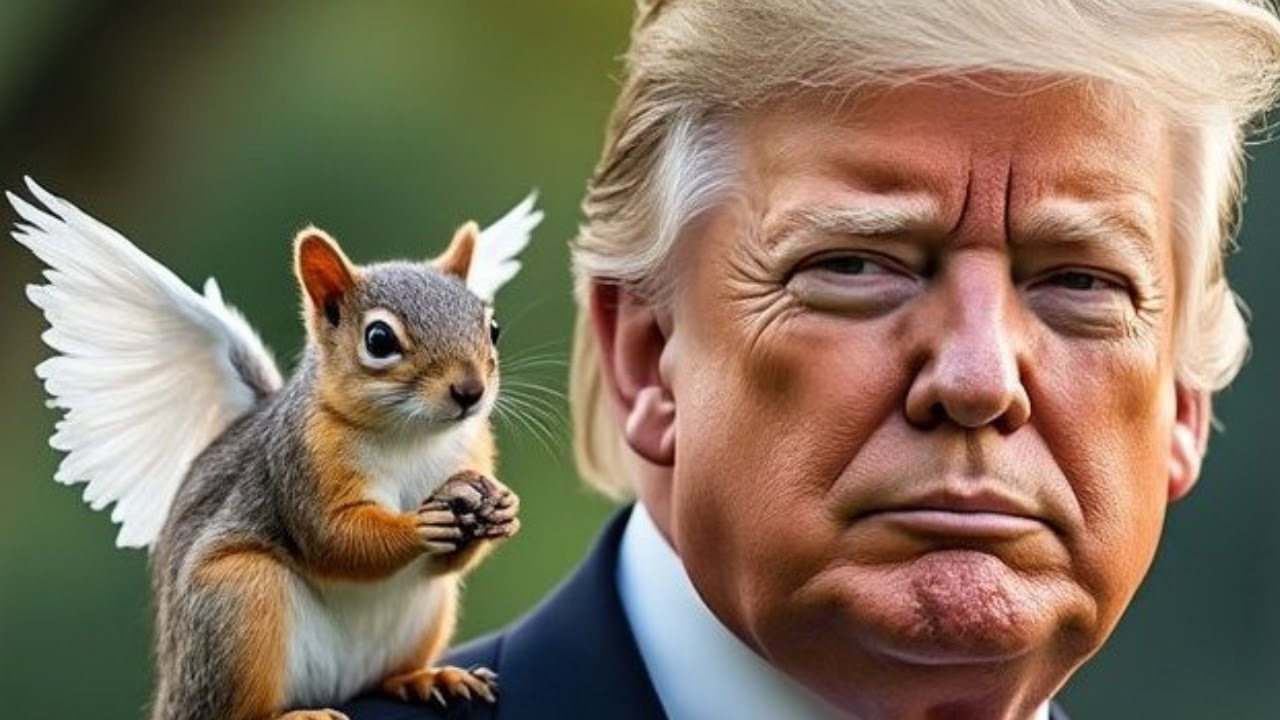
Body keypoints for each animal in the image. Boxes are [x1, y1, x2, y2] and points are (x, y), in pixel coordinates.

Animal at [8, 178, 543, 720]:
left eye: (492, 328)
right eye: (378, 339)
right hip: (240, 599)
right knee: (234, 711)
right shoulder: (300, 465)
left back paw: (424, 676)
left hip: (427, 611)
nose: (470, 391)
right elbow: (334, 538)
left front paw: (503, 507)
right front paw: (417, 525)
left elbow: (444, 560)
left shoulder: (471, 450)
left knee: (389, 669)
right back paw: (299, 713)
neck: (412, 436)